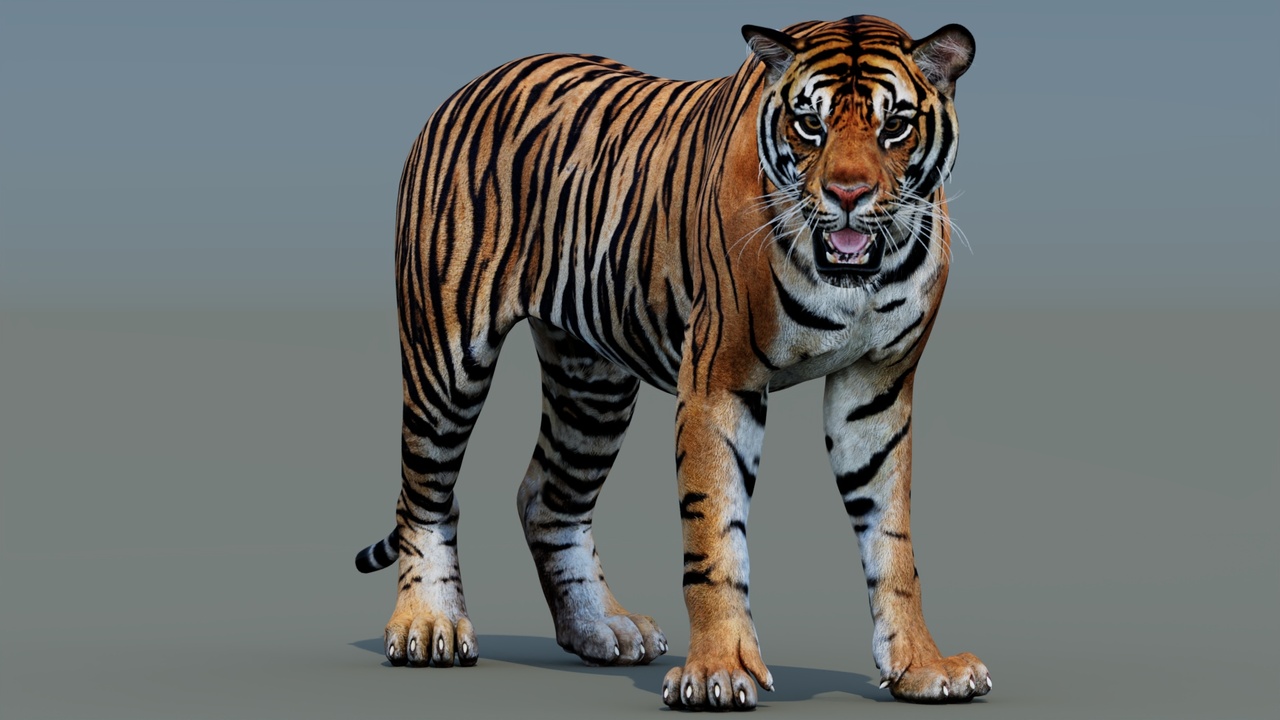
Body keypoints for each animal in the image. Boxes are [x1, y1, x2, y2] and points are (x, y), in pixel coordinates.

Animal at [353, 14, 986, 709]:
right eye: (808, 124)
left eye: (894, 124)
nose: (848, 194)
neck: (856, 279)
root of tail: (469, 86)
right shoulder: (719, 378)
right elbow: (713, 534)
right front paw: (718, 671)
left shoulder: (875, 385)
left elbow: (891, 541)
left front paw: (923, 667)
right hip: (447, 354)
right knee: (425, 492)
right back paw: (427, 626)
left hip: (592, 386)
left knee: (547, 498)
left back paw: (601, 627)